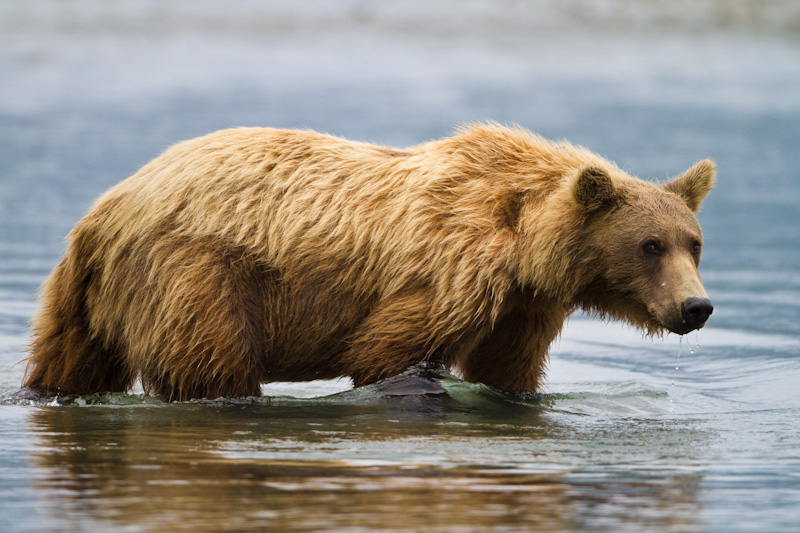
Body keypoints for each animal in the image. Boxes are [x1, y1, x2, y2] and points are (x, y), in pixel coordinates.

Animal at [21, 124, 716, 400]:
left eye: (693, 241)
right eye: (650, 245)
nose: (697, 306)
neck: (526, 247)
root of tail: (104, 211)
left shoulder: (525, 306)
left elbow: (507, 370)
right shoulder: (451, 271)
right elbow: (390, 353)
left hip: (85, 299)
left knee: (70, 362)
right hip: (196, 272)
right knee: (214, 368)